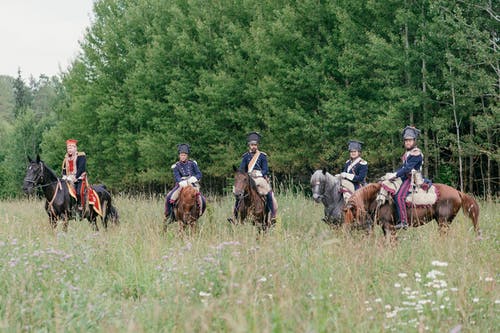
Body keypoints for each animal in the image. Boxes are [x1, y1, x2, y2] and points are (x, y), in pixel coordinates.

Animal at [344, 182, 480, 239]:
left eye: (351, 213)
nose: (347, 230)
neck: (377, 199)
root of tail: (457, 192)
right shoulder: (385, 227)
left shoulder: (389, 226)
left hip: (443, 222)